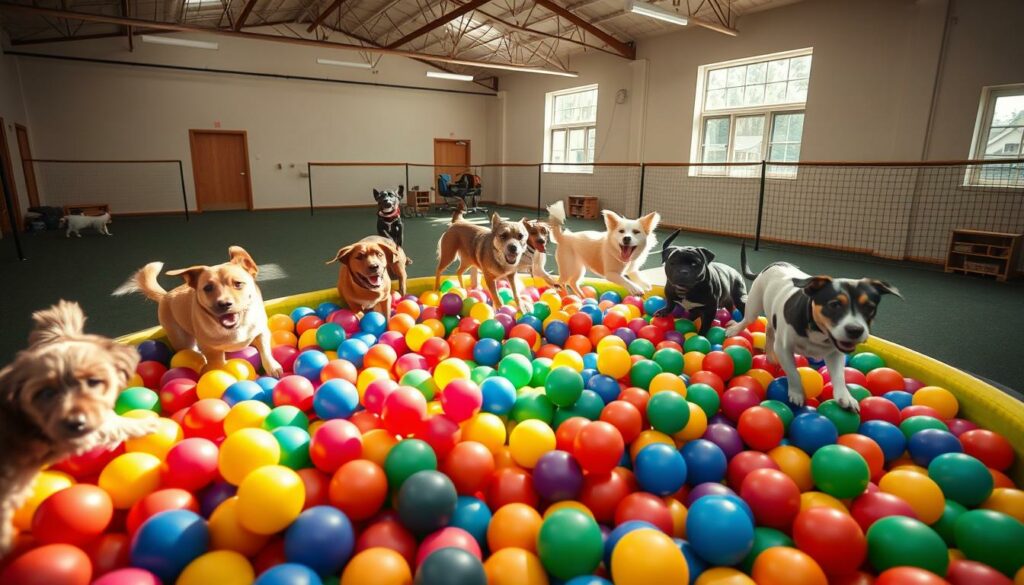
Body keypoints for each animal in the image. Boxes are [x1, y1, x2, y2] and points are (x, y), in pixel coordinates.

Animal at [114, 245, 282, 374]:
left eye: (238, 284)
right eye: (207, 288)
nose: (224, 304)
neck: (234, 329)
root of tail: (165, 296)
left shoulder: (262, 332)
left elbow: (266, 351)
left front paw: (273, 367)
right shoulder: (211, 349)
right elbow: (217, 363)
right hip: (182, 339)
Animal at [724, 242, 901, 411]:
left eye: (870, 307)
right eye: (834, 305)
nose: (855, 330)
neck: (817, 331)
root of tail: (774, 264)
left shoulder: (835, 354)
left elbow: (839, 376)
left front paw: (845, 396)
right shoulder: (784, 349)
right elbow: (794, 373)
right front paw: (797, 393)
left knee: (769, 329)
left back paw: (770, 354)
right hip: (754, 305)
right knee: (748, 320)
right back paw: (735, 330)